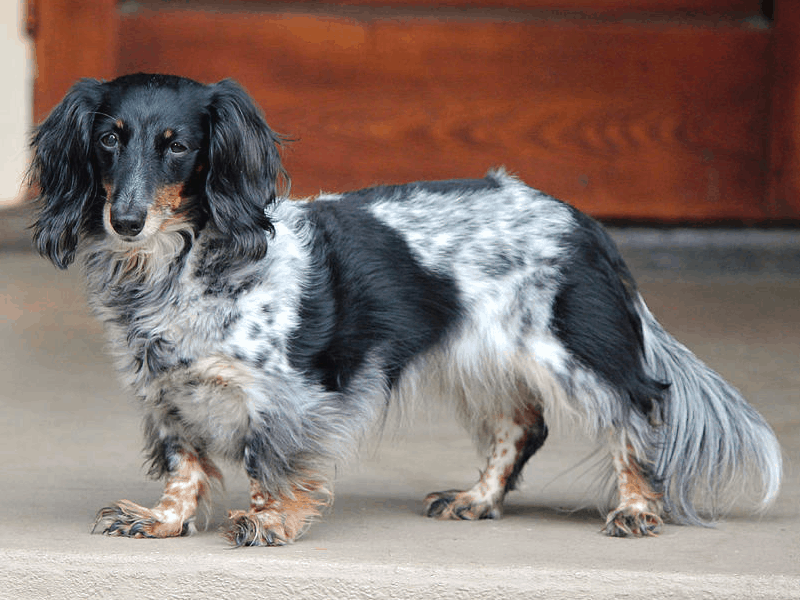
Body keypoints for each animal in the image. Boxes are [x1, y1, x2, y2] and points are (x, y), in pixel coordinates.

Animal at [29, 74, 780, 544]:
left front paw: (270, 522)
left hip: (576, 354)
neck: (176, 269)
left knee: (640, 413)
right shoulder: (167, 394)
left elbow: (271, 463)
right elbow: (185, 466)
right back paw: (477, 500)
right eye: (109, 139)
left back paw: (636, 509)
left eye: (178, 145)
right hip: (485, 360)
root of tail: (580, 219)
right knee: (521, 429)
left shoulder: (289, 397)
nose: (125, 220)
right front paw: (162, 519)